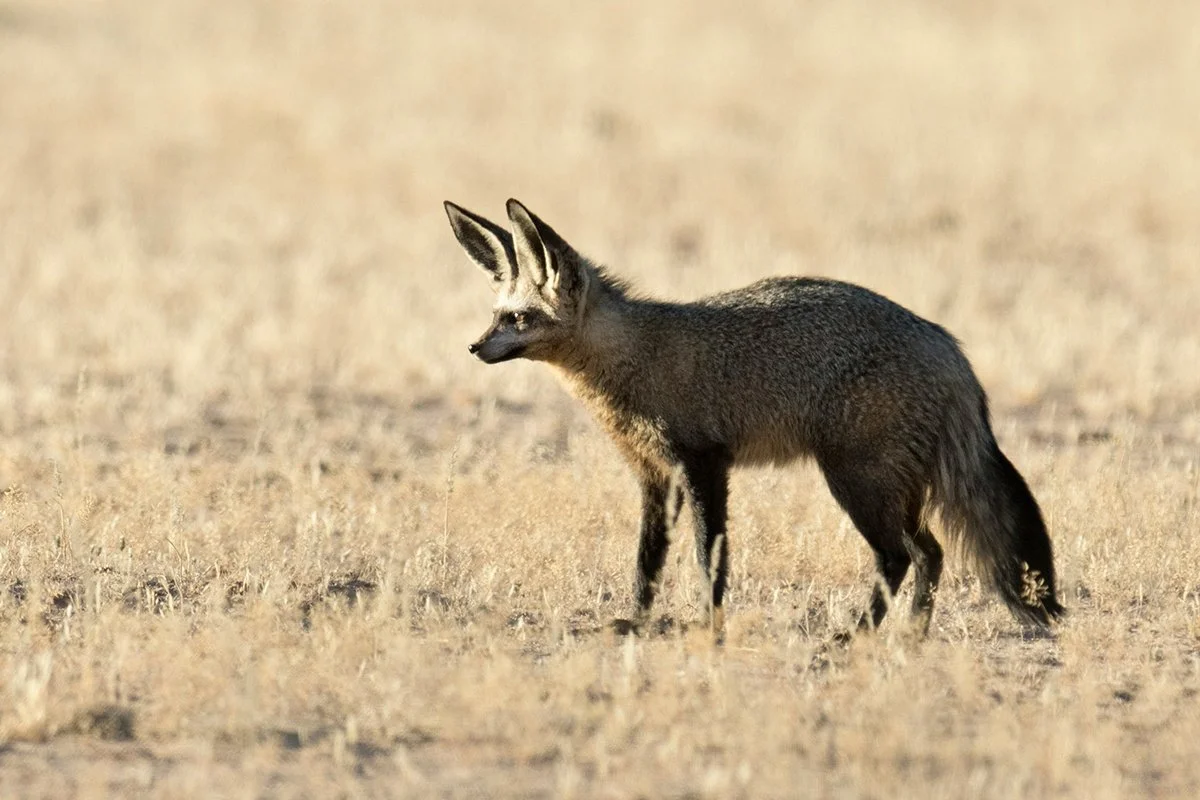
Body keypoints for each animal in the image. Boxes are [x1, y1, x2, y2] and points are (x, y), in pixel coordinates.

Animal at [443, 197, 1064, 639]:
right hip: (890, 487)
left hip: (856, 481)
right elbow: (647, 560)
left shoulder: (704, 463)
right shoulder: (654, 474)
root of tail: (950, 348)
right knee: (930, 553)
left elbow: (707, 556)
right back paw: (910, 634)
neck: (639, 356)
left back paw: (860, 635)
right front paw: (638, 622)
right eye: (496, 315)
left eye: (519, 319)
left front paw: (708, 625)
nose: (473, 347)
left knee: (901, 556)